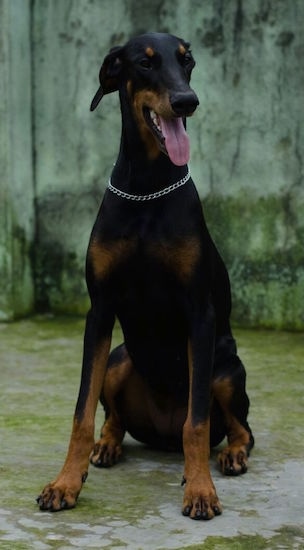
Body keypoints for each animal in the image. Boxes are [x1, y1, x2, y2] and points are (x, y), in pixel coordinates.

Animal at [36, 31, 253, 520]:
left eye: (187, 61)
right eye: (145, 63)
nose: (187, 100)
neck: (147, 188)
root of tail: (163, 437)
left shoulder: (200, 314)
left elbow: (197, 421)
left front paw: (200, 490)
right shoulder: (99, 311)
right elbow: (81, 413)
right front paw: (65, 483)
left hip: (226, 369)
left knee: (239, 427)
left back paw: (228, 456)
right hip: (120, 360)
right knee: (114, 417)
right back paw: (107, 446)